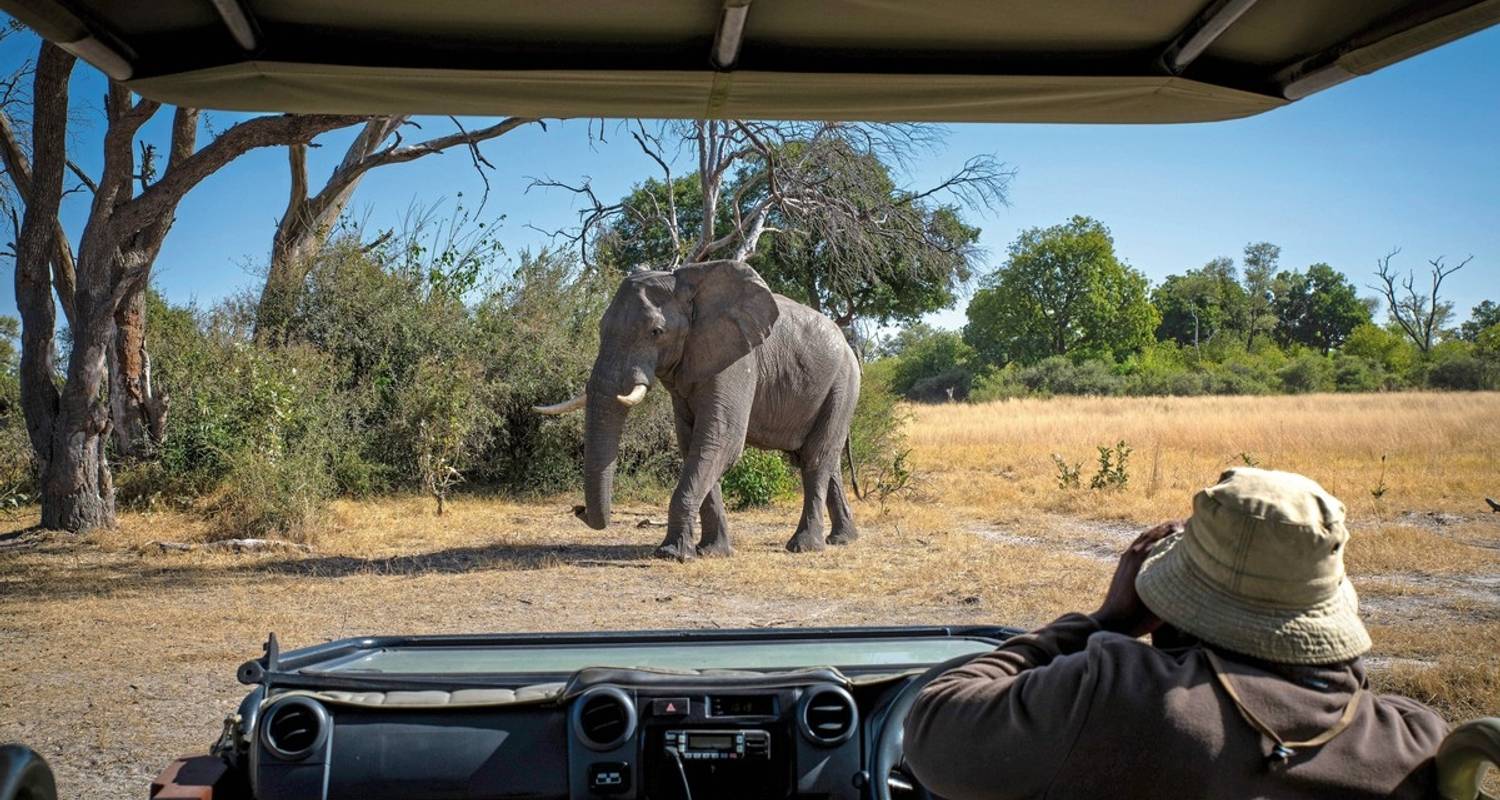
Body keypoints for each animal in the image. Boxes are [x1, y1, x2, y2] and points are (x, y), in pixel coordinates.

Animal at [531, 258, 858, 558]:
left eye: (656, 332)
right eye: (600, 328)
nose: (578, 509)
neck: (688, 285)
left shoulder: (737, 361)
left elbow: (720, 439)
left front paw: (671, 554)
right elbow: (694, 444)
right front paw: (711, 552)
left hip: (843, 384)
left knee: (815, 457)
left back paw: (804, 547)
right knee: (821, 459)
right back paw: (842, 539)